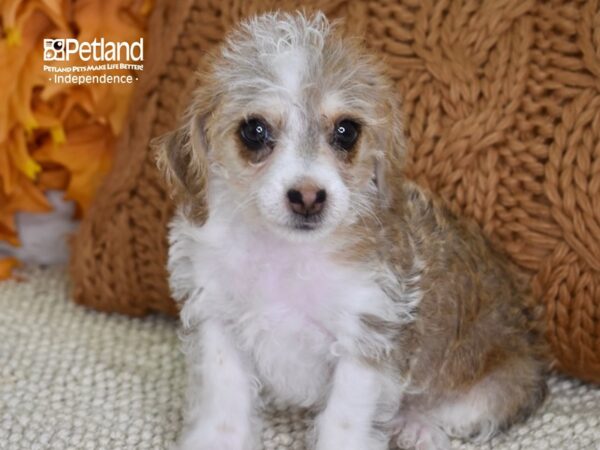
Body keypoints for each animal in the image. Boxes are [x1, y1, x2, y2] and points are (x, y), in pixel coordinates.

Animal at [156, 11, 548, 450]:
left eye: (346, 131)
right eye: (254, 131)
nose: (308, 196)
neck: (285, 254)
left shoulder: (367, 333)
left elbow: (343, 418)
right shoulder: (218, 319)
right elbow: (223, 401)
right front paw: (217, 439)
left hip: (497, 384)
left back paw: (417, 424)